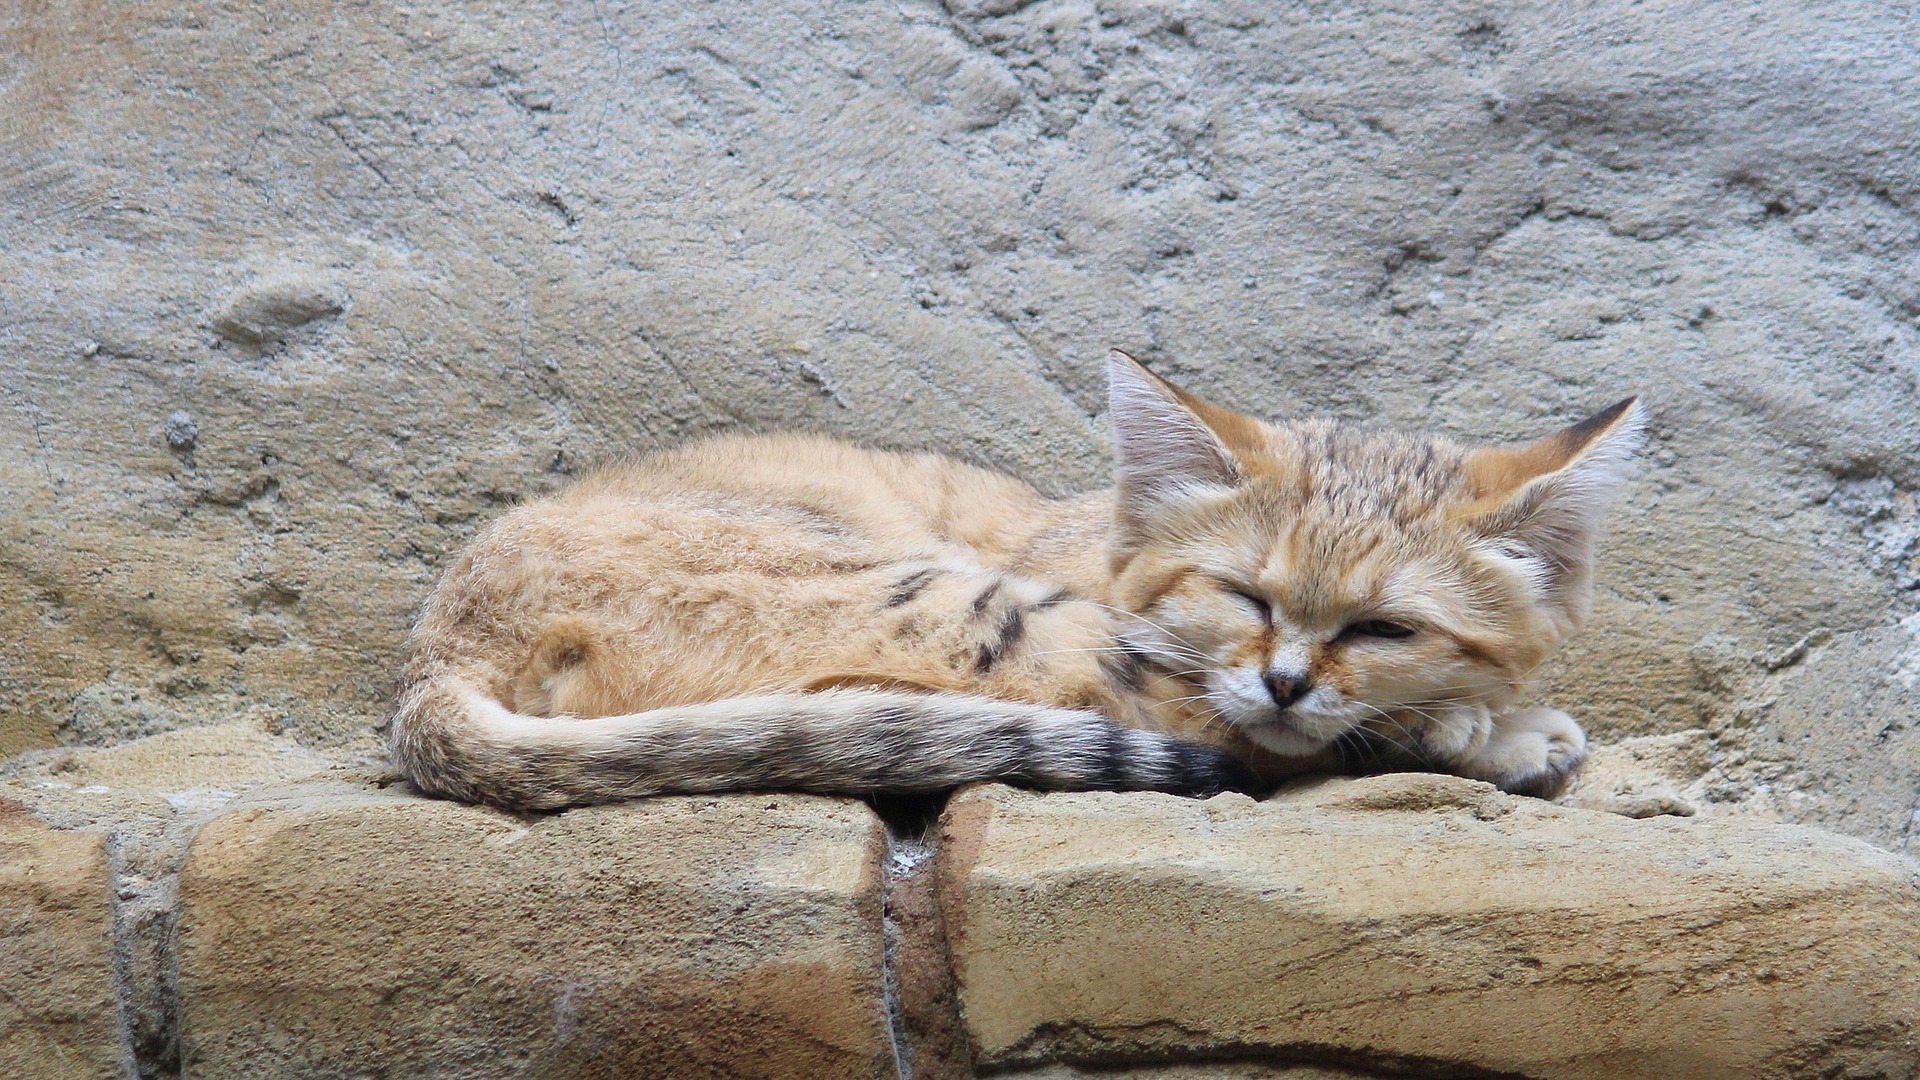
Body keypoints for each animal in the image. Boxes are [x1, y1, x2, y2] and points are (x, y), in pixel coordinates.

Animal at [385, 353, 1635, 807]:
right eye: (1244, 597)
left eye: (1382, 629)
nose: (1286, 681)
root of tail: (434, 653)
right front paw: (1492, 728)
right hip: (961, 604)